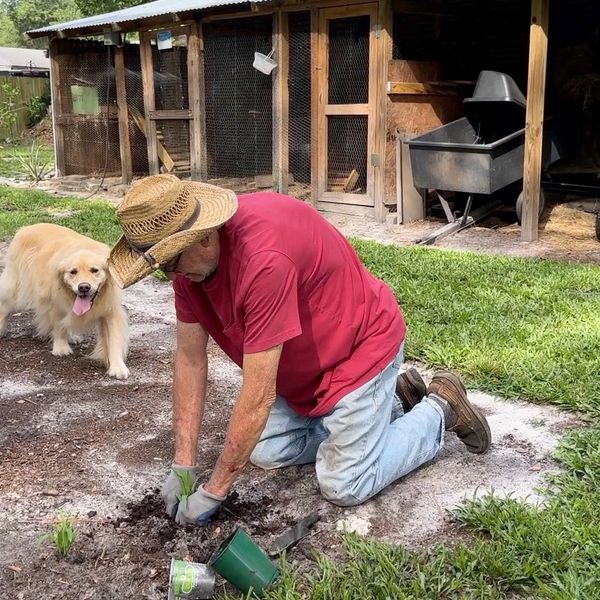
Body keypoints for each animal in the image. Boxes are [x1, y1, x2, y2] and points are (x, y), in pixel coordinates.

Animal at [0, 223, 129, 378]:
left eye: (94, 270)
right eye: (73, 272)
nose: (83, 287)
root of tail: (25, 228)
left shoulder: (110, 310)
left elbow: (114, 340)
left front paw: (118, 367)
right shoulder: (56, 303)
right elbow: (59, 327)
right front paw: (61, 348)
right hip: (18, 290)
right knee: (4, 306)